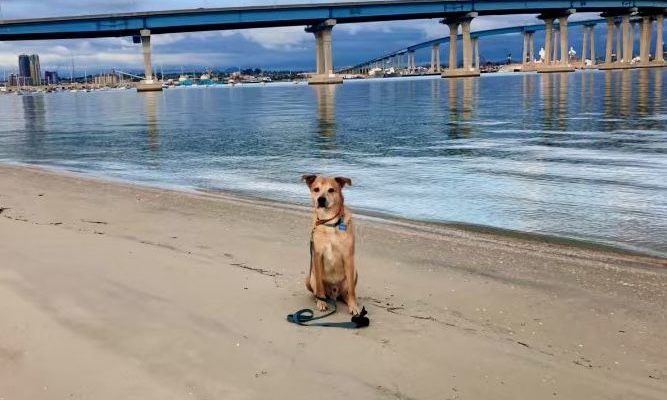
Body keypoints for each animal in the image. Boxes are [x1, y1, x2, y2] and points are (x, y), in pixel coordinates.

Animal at [302, 175, 360, 316]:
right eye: (316, 189)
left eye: (331, 190)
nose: (321, 199)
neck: (329, 223)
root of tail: (334, 293)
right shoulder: (317, 255)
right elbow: (319, 285)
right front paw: (321, 302)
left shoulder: (348, 257)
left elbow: (352, 290)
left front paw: (353, 306)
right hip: (309, 277)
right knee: (318, 290)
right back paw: (319, 299)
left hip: (354, 273)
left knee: (346, 292)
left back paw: (349, 301)